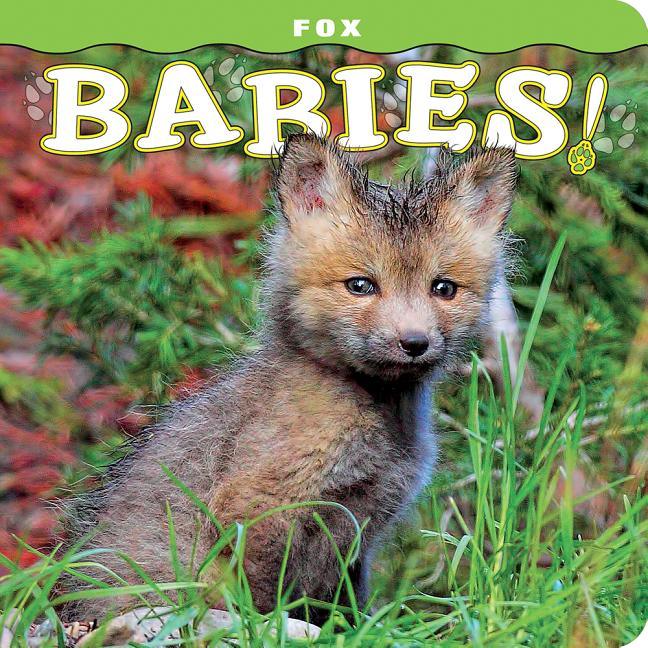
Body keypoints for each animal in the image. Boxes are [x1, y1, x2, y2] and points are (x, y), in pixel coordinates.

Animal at [57, 134, 517, 624]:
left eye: (443, 288)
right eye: (360, 285)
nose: (414, 342)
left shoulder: (356, 536)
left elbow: (346, 613)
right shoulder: (257, 507)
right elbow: (262, 604)